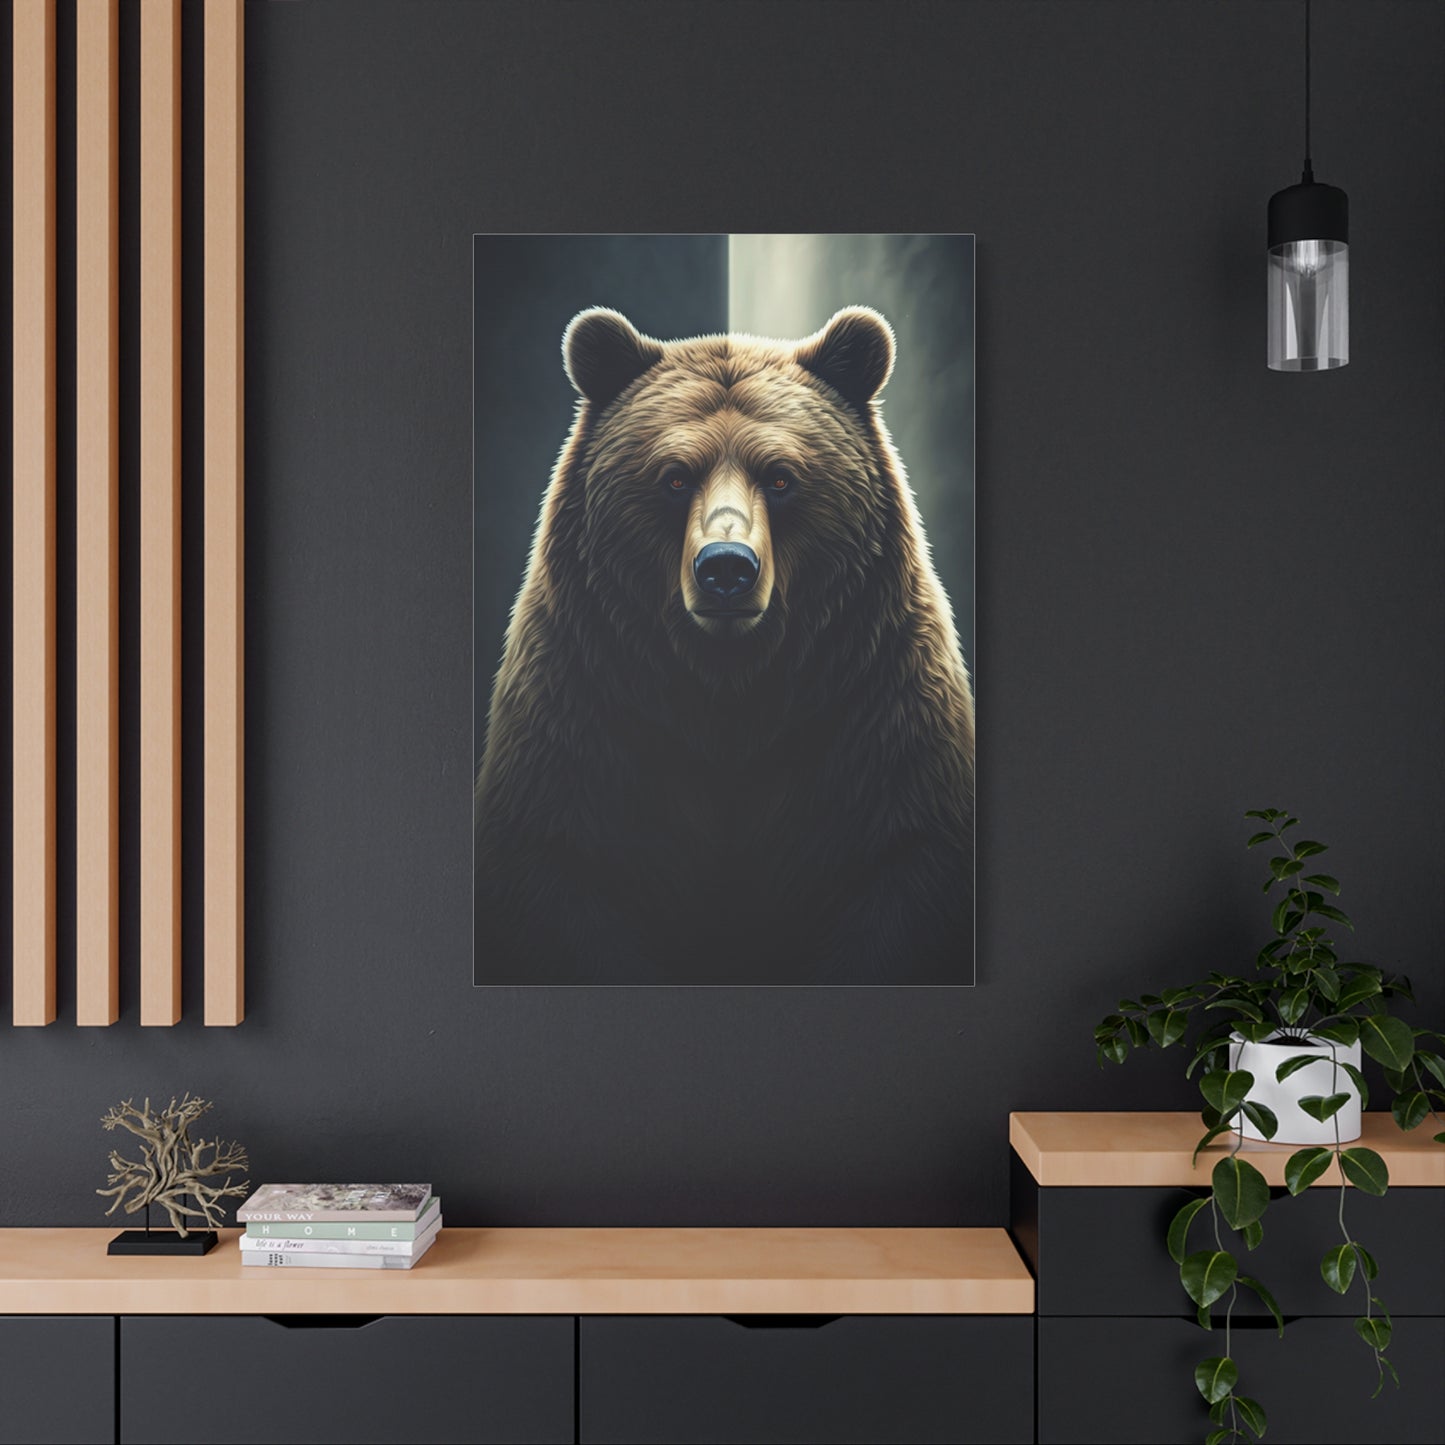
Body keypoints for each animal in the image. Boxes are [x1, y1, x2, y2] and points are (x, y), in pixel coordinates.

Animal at [474, 306, 974, 984]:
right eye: (674, 476)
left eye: (782, 477)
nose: (727, 567)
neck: (729, 694)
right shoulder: (586, 708)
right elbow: (559, 867)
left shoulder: (875, 715)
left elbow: (903, 867)